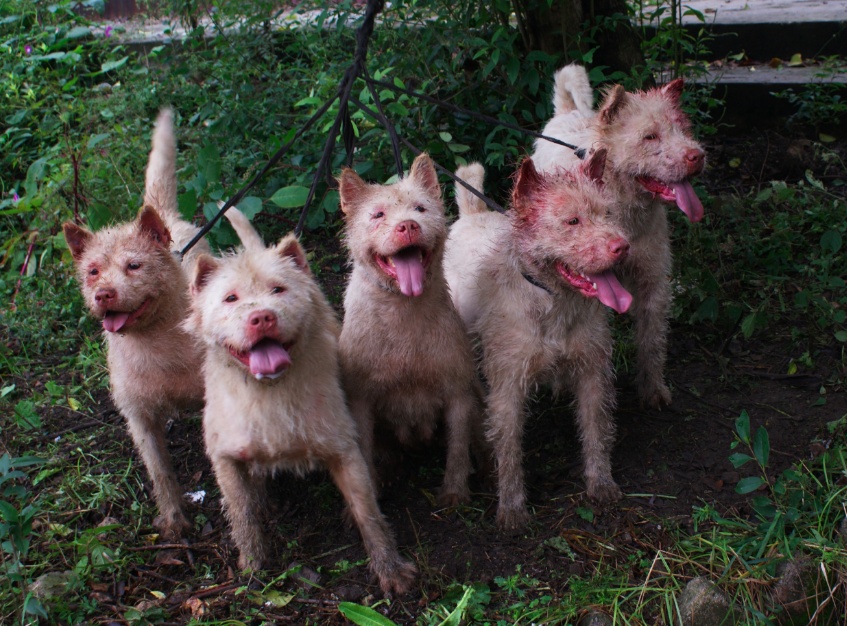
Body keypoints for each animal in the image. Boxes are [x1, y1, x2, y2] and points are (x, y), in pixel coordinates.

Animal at [62, 108, 207, 536]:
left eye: (134, 265)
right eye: (92, 271)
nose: (103, 294)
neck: (155, 340)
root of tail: (164, 217)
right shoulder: (138, 418)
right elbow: (159, 470)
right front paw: (174, 519)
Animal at [190, 207, 420, 592]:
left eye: (278, 289)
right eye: (230, 298)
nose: (262, 316)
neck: (270, 391)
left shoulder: (345, 452)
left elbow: (368, 512)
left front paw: (389, 567)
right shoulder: (225, 459)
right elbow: (242, 513)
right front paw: (252, 562)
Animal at [338, 154, 484, 504]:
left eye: (420, 208)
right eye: (378, 214)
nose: (408, 226)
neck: (402, 311)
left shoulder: (458, 392)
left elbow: (458, 446)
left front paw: (455, 492)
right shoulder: (360, 401)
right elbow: (364, 449)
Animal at [444, 151, 628, 528]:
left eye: (608, 214)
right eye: (572, 221)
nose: (622, 246)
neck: (552, 298)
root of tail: (473, 214)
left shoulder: (593, 373)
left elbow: (596, 430)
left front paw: (601, 483)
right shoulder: (508, 388)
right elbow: (509, 448)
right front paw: (512, 507)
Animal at [536, 66, 708, 408]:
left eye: (682, 128)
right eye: (650, 136)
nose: (698, 156)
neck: (624, 210)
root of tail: (566, 112)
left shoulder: (653, 284)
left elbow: (652, 342)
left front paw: (653, 390)